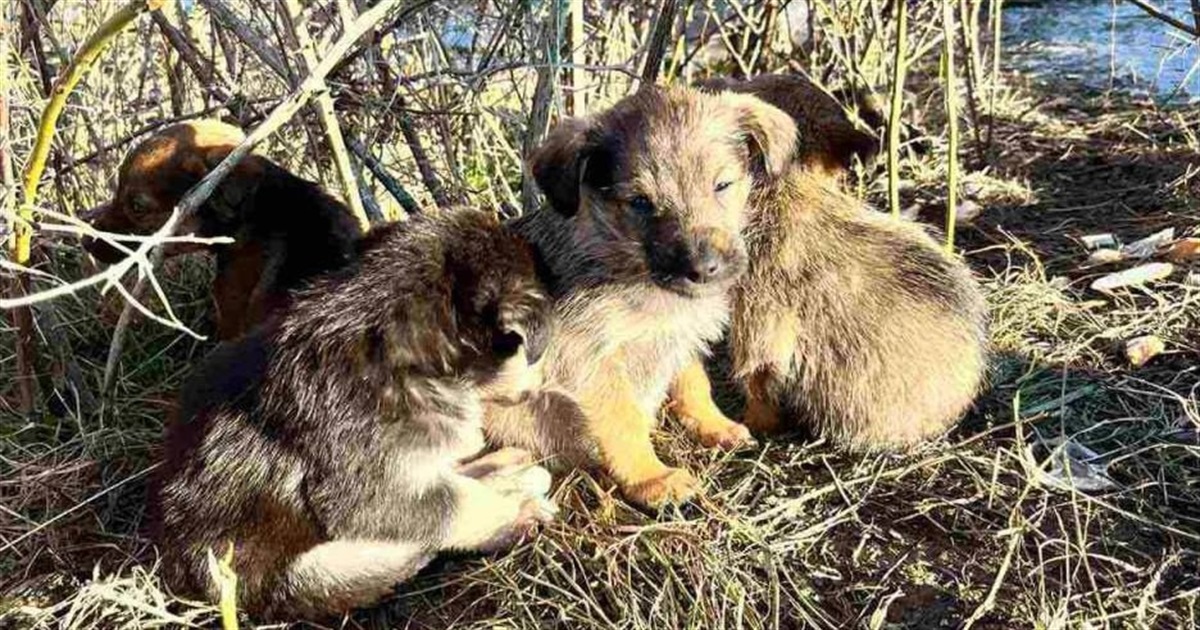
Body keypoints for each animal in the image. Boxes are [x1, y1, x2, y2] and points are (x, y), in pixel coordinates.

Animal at [151, 207, 556, 619]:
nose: (546, 379)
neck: (402, 353)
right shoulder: (365, 495)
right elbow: (456, 508)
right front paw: (512, 512)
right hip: (296, 575)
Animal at [482, 84, 801, 506]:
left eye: (722, 186)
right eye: (640, 203)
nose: (703, 269)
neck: (628, 263)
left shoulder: (677, 337)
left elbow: (693, 382)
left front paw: (714, 424)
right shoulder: (589, 362)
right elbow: (625, 422)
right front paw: (651, 478)